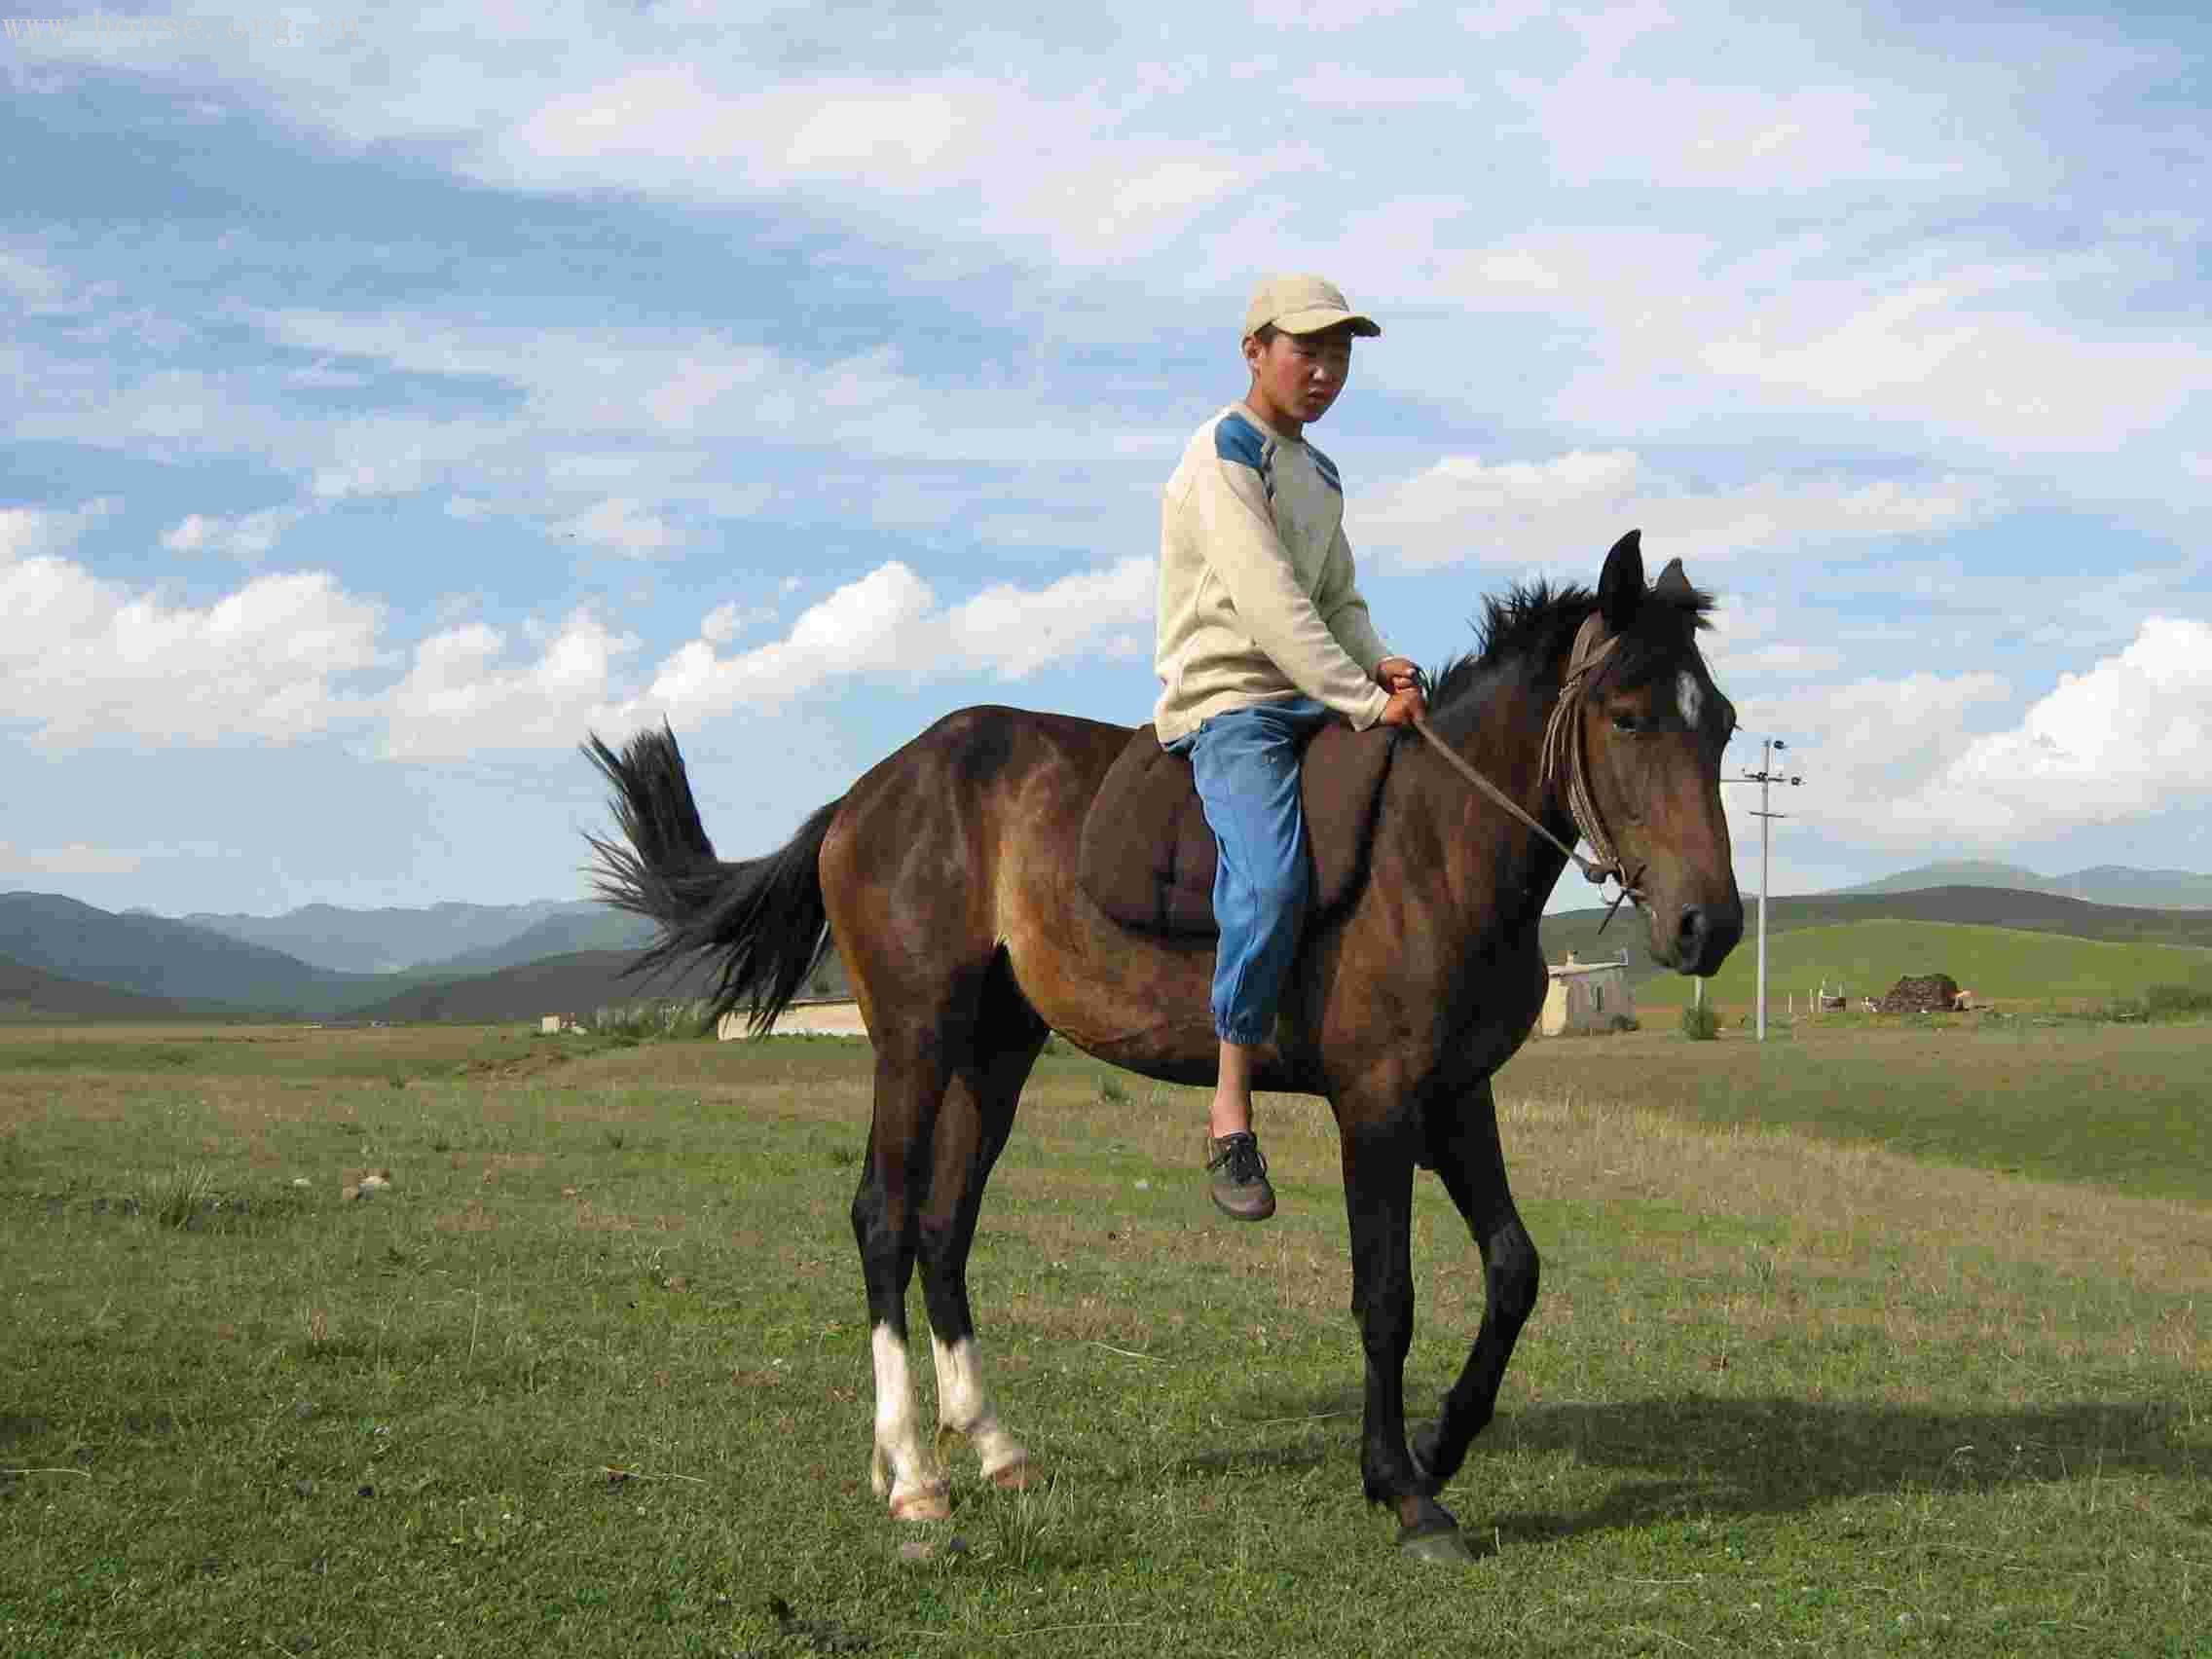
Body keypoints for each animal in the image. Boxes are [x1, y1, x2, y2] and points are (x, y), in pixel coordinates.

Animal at [583, 535, 1743, 1574]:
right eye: (1627, 717)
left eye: (1723, 726)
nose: (1709, 928)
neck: (1436, 842)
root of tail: (869, 792)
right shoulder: (1376, 1106)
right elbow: (1386, 1297)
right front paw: (1404, 1490)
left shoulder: (1456, 1098)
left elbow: (1513, 1271)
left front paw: (1441, 1443)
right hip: (913, 1040)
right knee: (882, 1220)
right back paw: (912, 1473)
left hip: (996, 1053)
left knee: (944, 1229)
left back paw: (993, 1446)